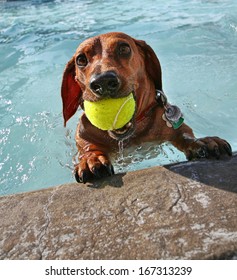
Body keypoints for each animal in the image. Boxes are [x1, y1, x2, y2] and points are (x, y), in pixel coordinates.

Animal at [61, 31, 231, 183]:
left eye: (124, 48)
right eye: (81, 59)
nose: (103, 82)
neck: (131, 136)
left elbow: (184, 134)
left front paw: (202, 142)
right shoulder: (83, 133)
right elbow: (87, 146)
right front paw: (92, 158)